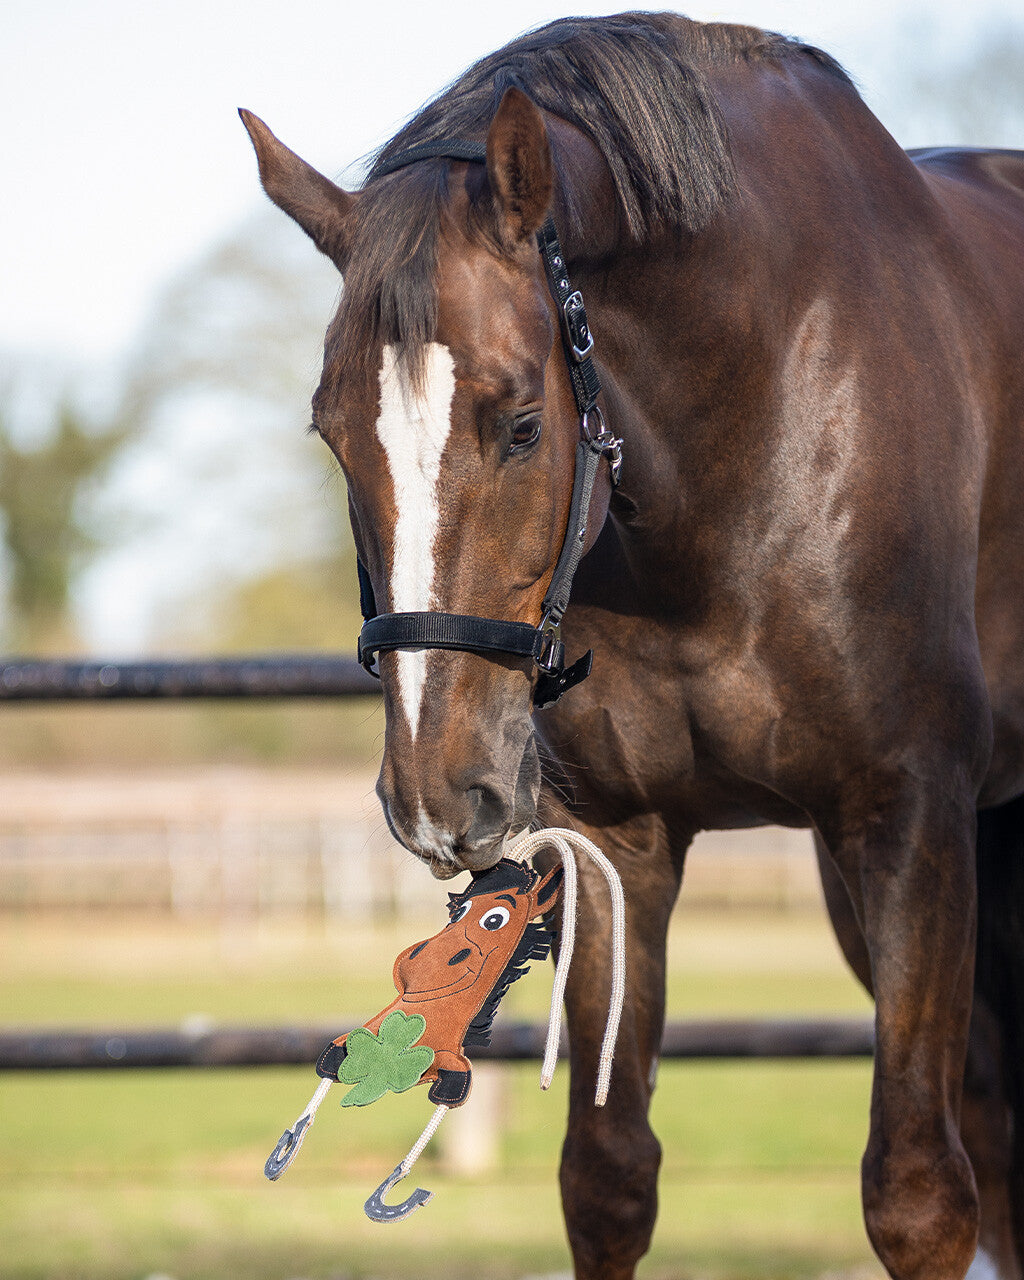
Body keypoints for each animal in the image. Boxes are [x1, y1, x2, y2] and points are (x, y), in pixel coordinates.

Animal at [240, 13, 1024, 1279]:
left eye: (520, 422)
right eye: (331, 431)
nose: (437, 798)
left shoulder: (905, 817)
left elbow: (916, 1195)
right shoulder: (617, 842)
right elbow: (607, 1177)